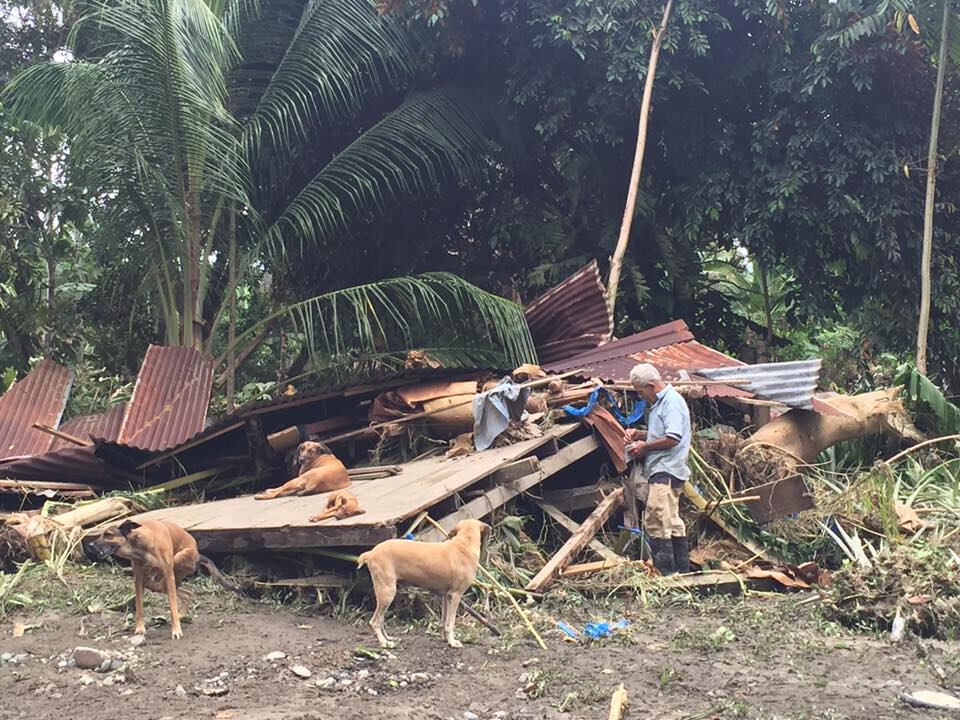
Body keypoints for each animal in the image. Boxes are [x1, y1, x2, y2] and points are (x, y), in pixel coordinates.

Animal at [85, 519, 240, 640]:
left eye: (108, 535)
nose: (90, 545)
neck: (139, 547)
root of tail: (198, 554)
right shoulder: (138, 578)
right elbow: (139, 606)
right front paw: (140, 628)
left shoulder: (168, 574)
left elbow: (172, 606)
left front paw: (176, 630)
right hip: (162, 582)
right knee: (186, 593)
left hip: (178, 560)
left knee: (175, 588)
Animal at [357, 518, 488, 648]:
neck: (463, 544)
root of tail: (371, 553)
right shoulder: (455, 595)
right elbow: (450, 623)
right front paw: (452, 642)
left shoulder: (446, 596)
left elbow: (444, 621)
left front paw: (446, 639)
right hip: (387, 592)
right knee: (374, 621)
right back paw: (384, 643)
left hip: (385, 594)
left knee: (381, 619)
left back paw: (388, 638)